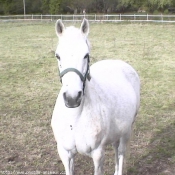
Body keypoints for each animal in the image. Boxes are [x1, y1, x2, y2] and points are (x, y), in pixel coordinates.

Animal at [51, 19, 140, 175]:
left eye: (86, 55)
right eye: (58, 55)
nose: (72, 98)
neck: (75, 119)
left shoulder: (98, 154)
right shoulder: (65, 153)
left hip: (127, 131)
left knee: (121, 152)